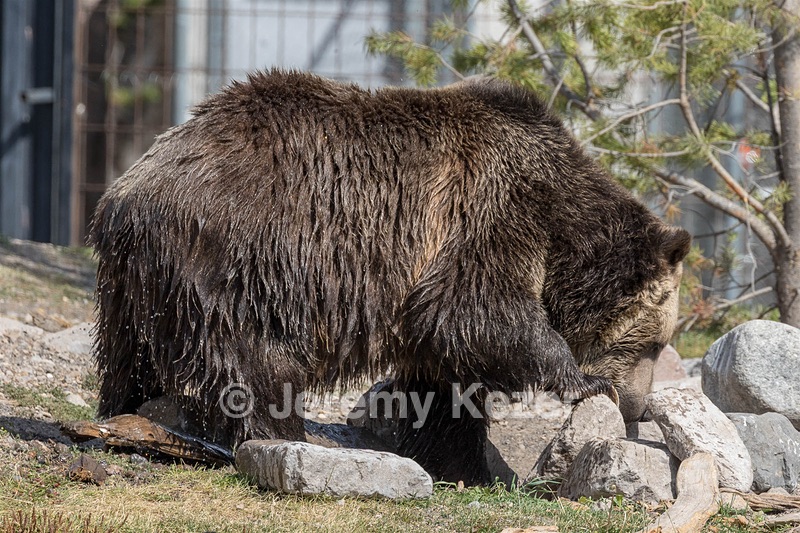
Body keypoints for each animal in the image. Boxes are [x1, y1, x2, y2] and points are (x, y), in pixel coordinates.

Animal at [89, 69, 690, 485]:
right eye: (653, 345)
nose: (635, 407)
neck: (561, 221)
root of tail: (128, 191)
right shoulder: (491, 212)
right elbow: (476, 310)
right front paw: (580, 379)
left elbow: (444, 378)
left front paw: (464, 465)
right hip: (240, 258)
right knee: (252, 359)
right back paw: (281, 435)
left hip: (133, 285)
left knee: (128, 356)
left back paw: (123, 413)